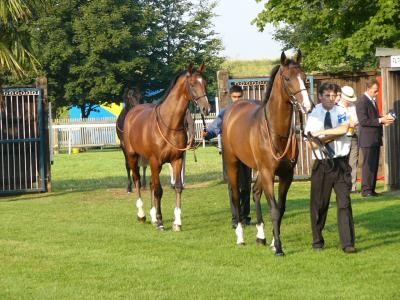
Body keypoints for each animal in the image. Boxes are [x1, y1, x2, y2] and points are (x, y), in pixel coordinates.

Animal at [123, 64, 211, 231]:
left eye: (205, 83)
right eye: (192, 84)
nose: (206, 109)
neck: (169, 125)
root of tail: (132, 112)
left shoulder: (176, 160)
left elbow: (177, 187)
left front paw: (177, 222)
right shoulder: (155, 161)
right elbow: (158, 190)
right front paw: (160, 222)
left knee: (150, 183)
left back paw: (151, 217)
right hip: (132, 156)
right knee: (138, 181)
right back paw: (142, 215)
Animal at [222, 49, 312, 255]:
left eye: (304, 77)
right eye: (287, 78)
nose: (307, 106)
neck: (274, 131)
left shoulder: (286, 175)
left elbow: (281, 208)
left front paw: (272, 241)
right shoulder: (269, 173)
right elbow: (274, 209)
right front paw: (278, 247)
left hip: (259, 170)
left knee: (255, 192)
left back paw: (260, 236)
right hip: (234, 163)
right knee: (236, 195)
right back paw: (240, 237)